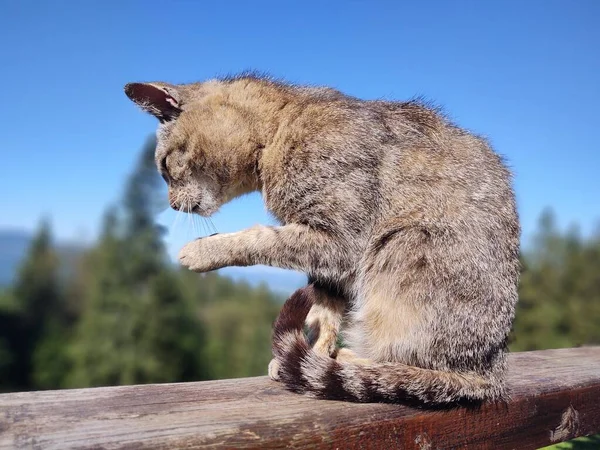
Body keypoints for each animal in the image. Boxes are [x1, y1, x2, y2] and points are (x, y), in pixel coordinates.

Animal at [124, 73, 516, 404]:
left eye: (163, 167)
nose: (172, 205)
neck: (276, 133)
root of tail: (494, 372)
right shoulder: (327, 257)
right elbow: (327, 306)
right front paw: (316, 351)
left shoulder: (340, 239)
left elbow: (260, 238)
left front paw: (204, 249)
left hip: (401, 248)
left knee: (419, 367)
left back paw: (356, 361)